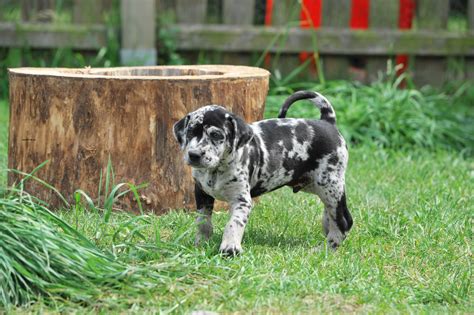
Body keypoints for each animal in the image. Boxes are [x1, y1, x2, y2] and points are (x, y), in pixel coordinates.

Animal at [173, 90, 352, 256]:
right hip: (317, 186)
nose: (194, 155)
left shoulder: (241, 200)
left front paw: (230, 248)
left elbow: (233, 223)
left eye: (216, 135)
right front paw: (201, 243)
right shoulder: (202, 193)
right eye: (190, 132)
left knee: (344, 221)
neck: (216, 170)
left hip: (329, 184)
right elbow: (202, 221)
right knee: (333, 214)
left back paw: (326, 249)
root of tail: (328, 123)